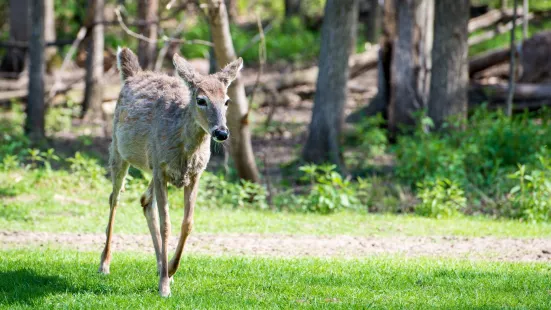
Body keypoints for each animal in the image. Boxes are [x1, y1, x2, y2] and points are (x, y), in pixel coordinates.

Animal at [98, 47, 244, 296]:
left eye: (226, 101)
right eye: (201, 100)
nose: (221, 132)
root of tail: (134, 74)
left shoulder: (193, 174)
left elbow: (187, 223)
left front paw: (172, 270)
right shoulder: (161, 170)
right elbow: (166, 225)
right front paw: (164, 286)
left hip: (152, 165)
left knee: (145, 200)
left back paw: (160, 265)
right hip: (118, 150)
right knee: (114, 199)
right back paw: (105, 263)